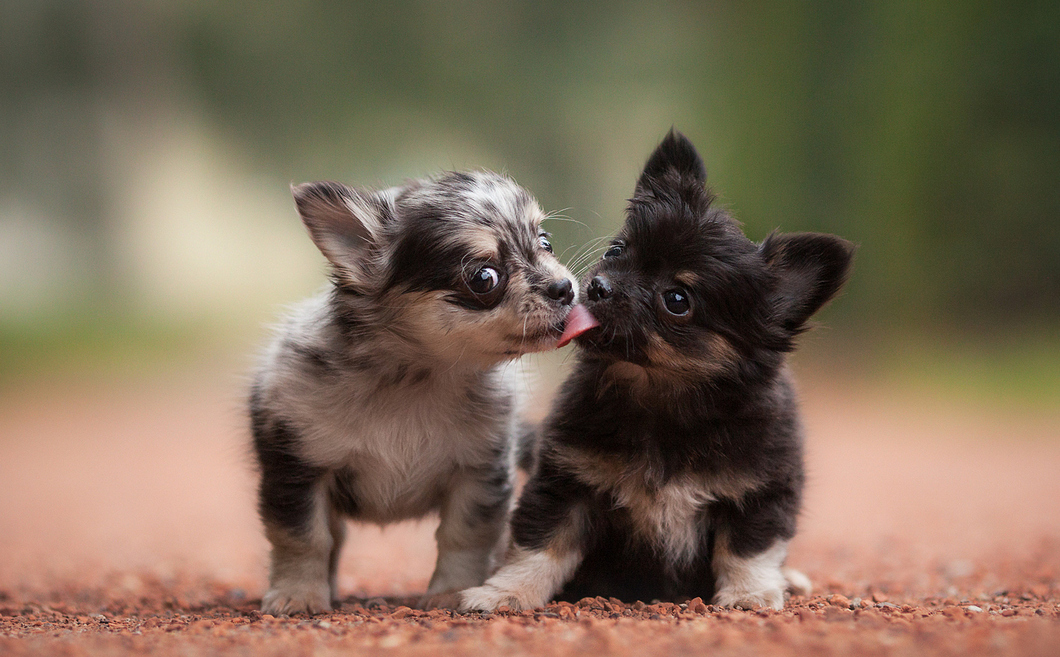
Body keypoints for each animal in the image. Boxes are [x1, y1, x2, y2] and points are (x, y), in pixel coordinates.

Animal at [250, 171, 576, 614]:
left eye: (545, 242)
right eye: (484, 278)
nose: (566, 287)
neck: (416, 378)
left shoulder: (478, 473)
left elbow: (464, 536)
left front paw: (452, 591)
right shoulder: (297, 468)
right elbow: (304, 538)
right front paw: (297, 594)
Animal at [460, 130, 854, 611]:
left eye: (677, 300)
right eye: (617, 251)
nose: (597, 287)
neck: (659, 402)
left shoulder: (759, 493)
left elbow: (747, 550)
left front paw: (750, 594)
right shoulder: (566, 485)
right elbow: (540, 546)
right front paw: (506, 592)